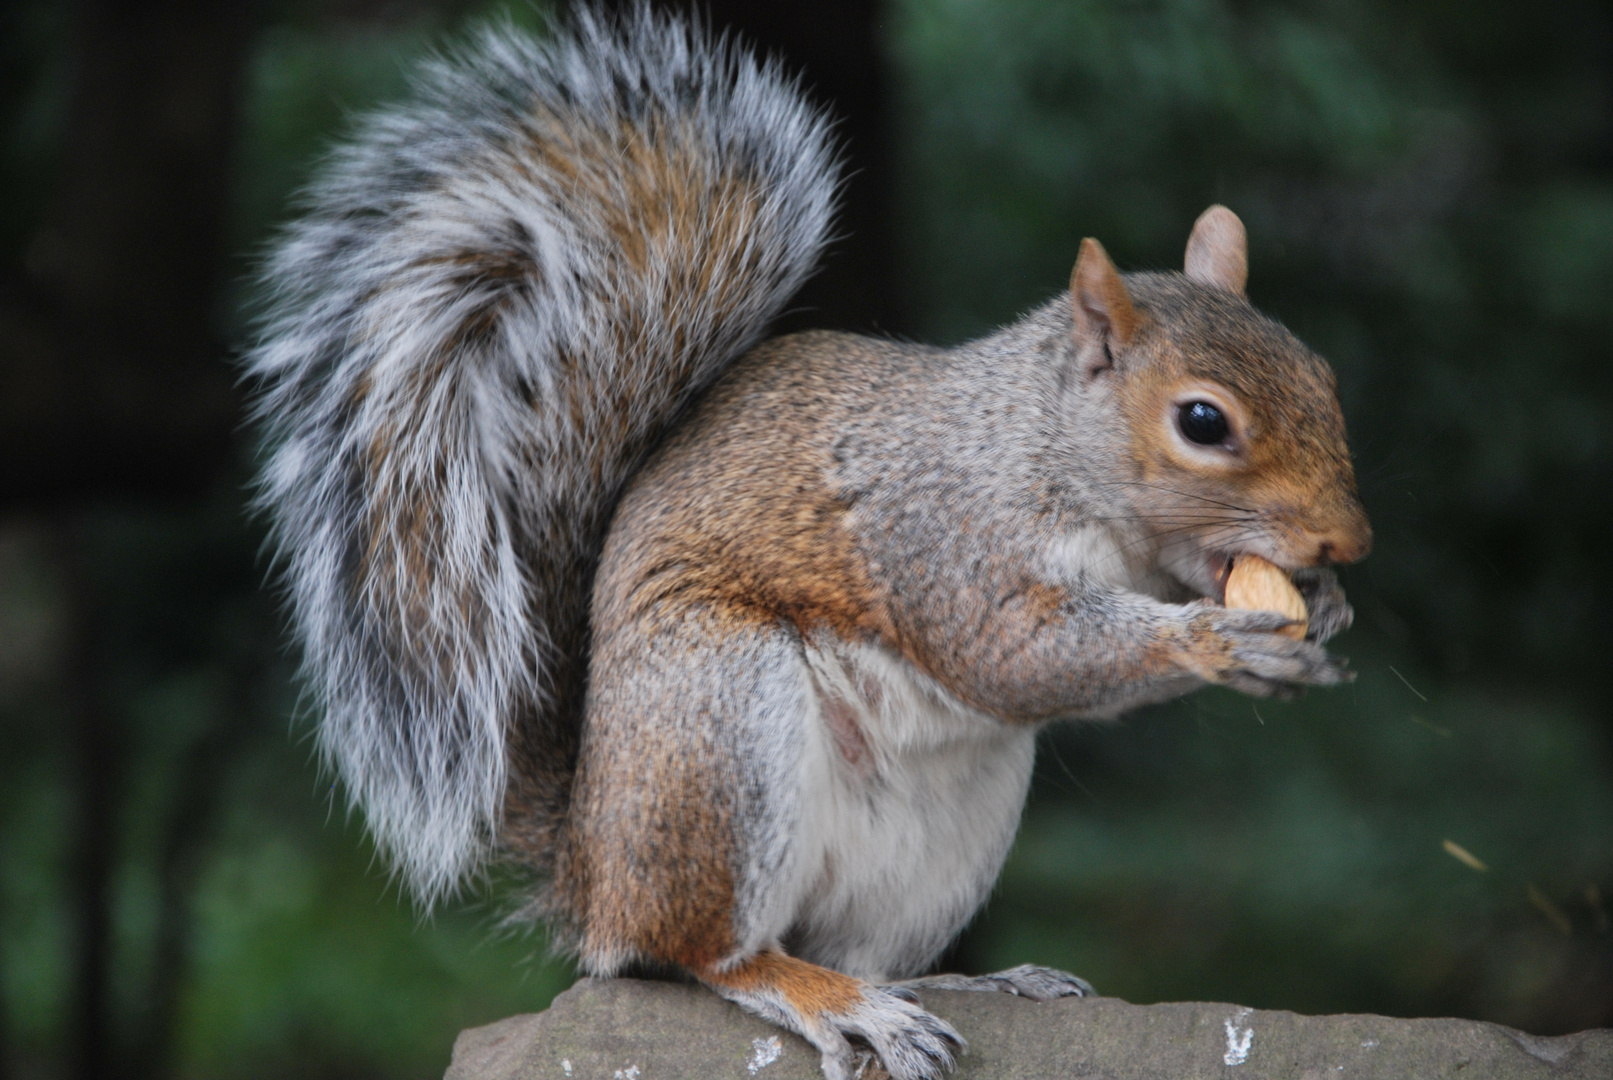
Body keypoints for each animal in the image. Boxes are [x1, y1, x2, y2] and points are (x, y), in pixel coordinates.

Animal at [245, 4, 1367, 1076]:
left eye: (1320, 372)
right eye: (1201, 422)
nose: (1347, 545)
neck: (1041, 448)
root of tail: (589, 871)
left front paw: (1319, 611)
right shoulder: (938, 532)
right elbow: (1012, 654)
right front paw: (1214, 639)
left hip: (943, 835)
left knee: (855, 945)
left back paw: (955, 985)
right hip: (719, 718)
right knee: (699, 954)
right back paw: (821, 999)